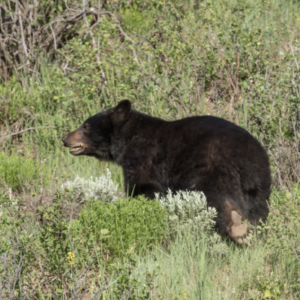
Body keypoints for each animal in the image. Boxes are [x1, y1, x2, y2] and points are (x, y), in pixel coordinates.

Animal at [62, 99, 270, 245]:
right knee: (258, 211)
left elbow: (143, 189)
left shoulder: (143, 160)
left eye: (86, 126)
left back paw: (236, 227)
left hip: (212, 168)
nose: (65, 138)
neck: (128, 139)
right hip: (259, 182)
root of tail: (244, 155)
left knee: (217, 200)